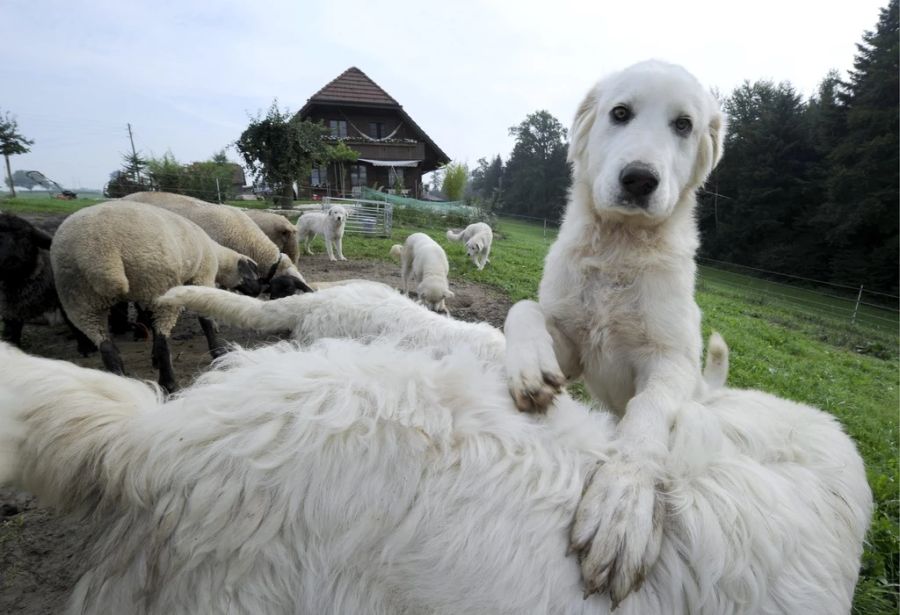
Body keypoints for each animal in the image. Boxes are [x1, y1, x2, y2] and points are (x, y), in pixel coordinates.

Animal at [506, 61, 732, 608]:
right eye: (620, 113)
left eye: (683, 125)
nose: (639, 179)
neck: (620, 245)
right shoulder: (571, 345)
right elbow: (525, 308)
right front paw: (528, 366)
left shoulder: (671, 362)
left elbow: (647, 413)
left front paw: (623, 506)